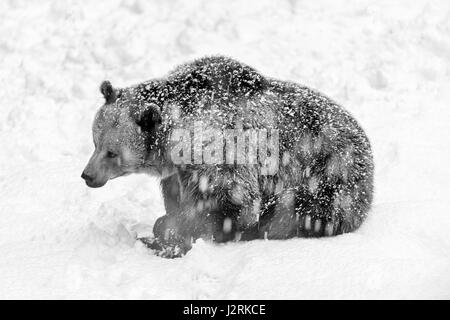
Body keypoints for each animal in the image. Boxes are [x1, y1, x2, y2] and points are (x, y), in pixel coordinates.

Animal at [81, 56, 372, 258]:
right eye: (94, 142)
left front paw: (171, 231)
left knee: (296, 207)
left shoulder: (220, 151)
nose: (87, 175)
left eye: (112, 152)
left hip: (329, 175)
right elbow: (176, 197)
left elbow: (232, 202)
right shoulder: (181, 171)